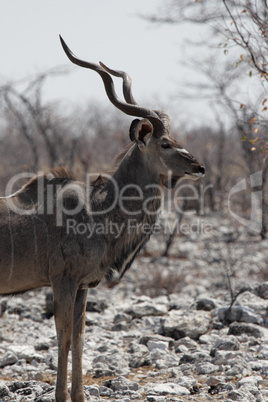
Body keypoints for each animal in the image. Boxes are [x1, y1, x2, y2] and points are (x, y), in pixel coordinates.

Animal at [0, 36, 205, 400]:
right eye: (166, 144)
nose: (199, 166)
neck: (98, 210)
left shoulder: (82, 286)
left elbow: (80, 338)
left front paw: (80, 395)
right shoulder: (62, 281)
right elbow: (64, 336)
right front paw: (61, 396)